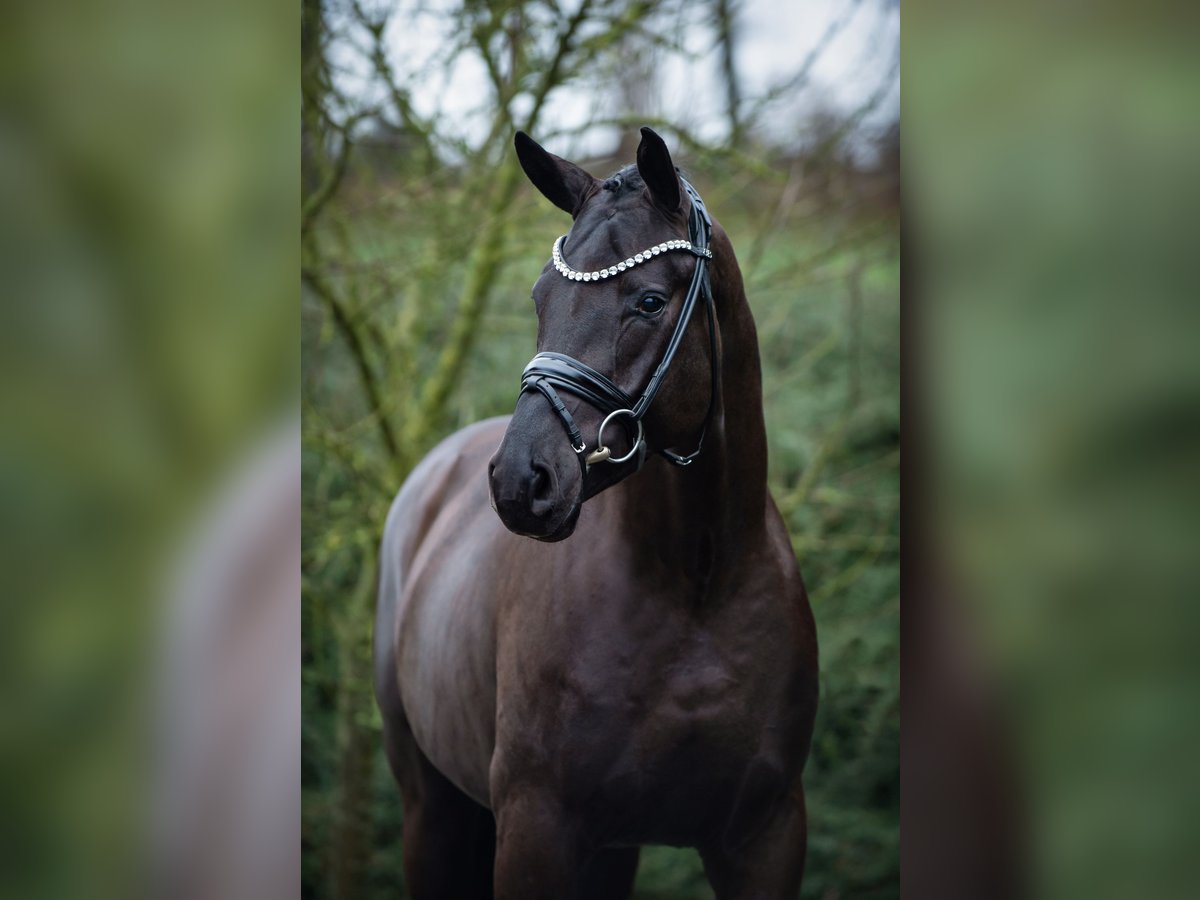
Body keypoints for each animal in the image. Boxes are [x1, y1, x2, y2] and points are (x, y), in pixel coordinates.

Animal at [374, 127, 818, 899]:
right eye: (539, 297)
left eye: (648, 300)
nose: (520, 480)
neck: (698, 588)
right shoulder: (536, 832)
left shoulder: (765, 836)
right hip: (430, 807)